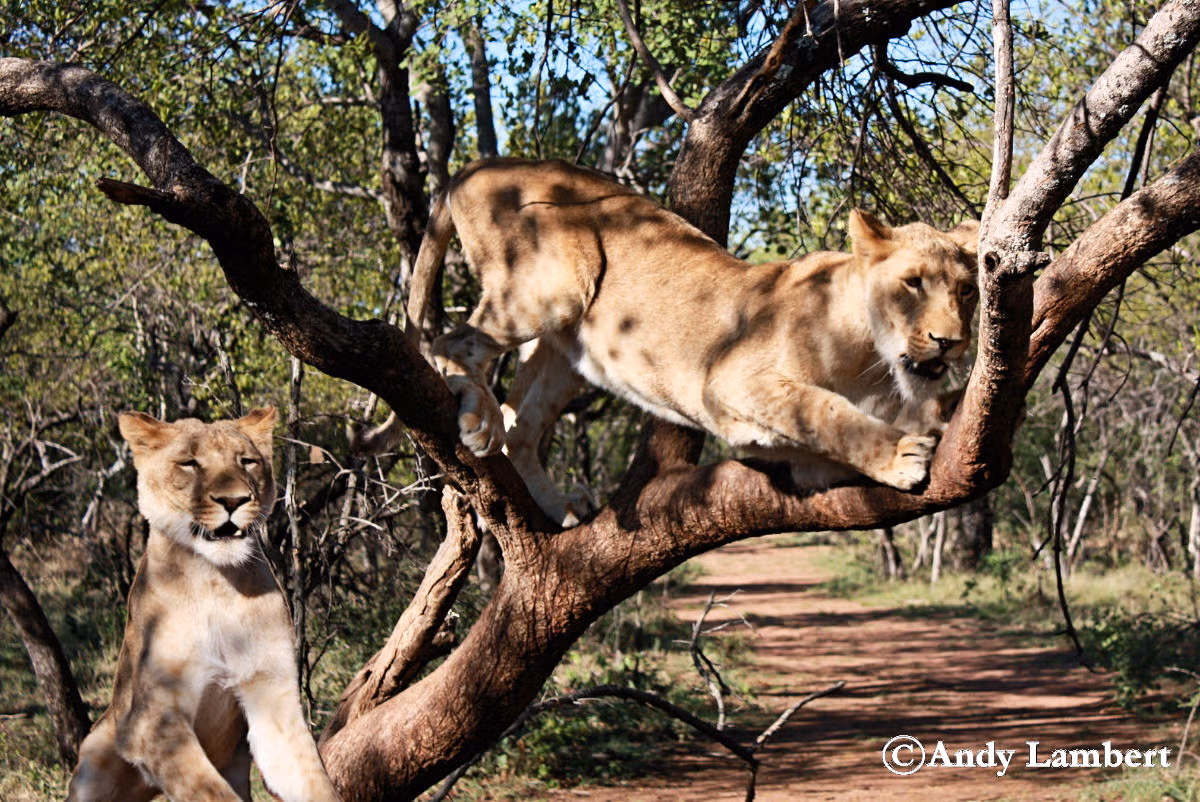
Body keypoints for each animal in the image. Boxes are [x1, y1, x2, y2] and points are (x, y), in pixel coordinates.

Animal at [67, 408, 341, 802]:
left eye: (247, 461)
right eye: (189, 463)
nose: (233, 500)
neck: (215, 582)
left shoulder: (272, 694)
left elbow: (313, 780)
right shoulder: (149, 721)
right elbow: (211, 791)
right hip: (98, 749)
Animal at [364, 158, 978, 525]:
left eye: (968, 291)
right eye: (913, 283)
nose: (949, 342)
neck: (873, 362)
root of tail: (476, 166)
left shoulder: (807, 466)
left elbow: (827, 430)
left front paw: (937, 419)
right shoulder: (729, 381)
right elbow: (823, 409)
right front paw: (900, 455)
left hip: (570, 350)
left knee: (524, 427)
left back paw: (560, 503)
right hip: (558, 281)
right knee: (449, 343)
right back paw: (478, 417)